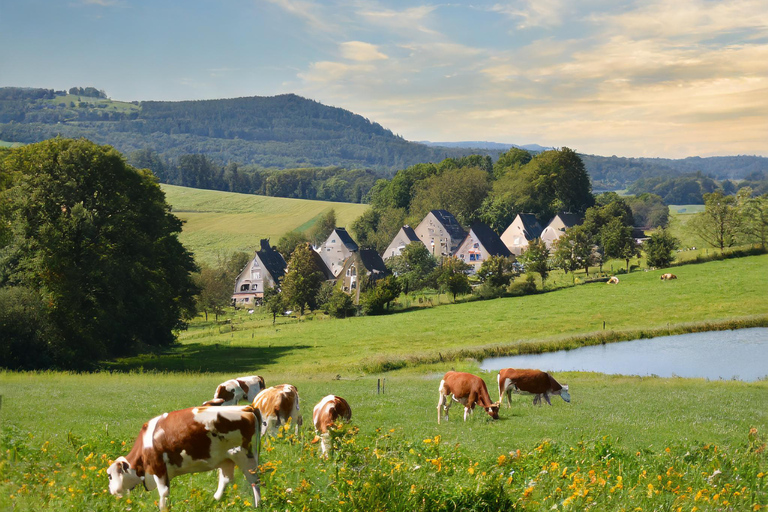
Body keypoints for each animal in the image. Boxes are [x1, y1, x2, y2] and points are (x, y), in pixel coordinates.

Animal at [106, 406, 264, 510]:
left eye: (109, 476)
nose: (111, 491)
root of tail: (246, 408)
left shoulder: (158, 467)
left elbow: (163, 493)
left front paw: (163, 508)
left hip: (245, 456)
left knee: (254, 481)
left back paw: (258, 505)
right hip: (226, 459)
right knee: (225, 480)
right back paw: (213, 501)